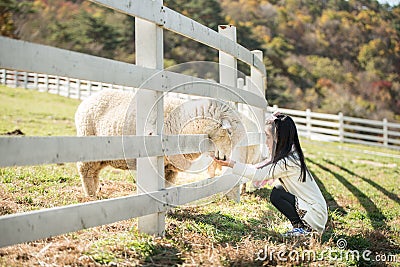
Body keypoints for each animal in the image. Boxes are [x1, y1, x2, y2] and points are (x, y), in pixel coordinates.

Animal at [74, 90, 244, 197]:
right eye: (229, 132)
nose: (225, 159)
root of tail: (88, 99)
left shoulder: (169, 168)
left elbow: (166, 187)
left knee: (94, 171)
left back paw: (96, 191)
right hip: (88, 141)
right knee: (85, 170)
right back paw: (90, 194)